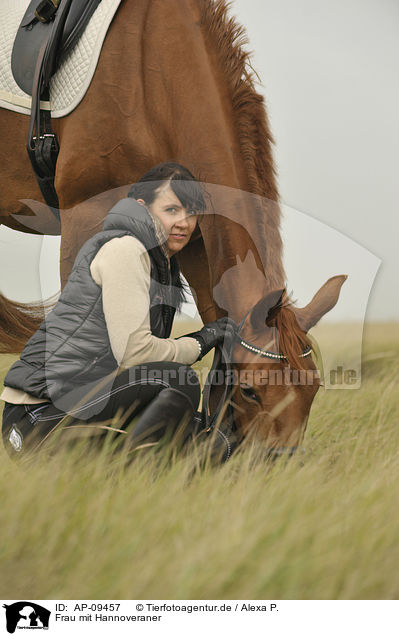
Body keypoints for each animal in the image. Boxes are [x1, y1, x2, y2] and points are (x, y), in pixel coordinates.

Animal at [0, 0, 346, 452]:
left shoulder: (197, 239)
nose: (276, 461)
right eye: (251, 390)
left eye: (313, 389)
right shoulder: (84, 215)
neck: (149, 76)